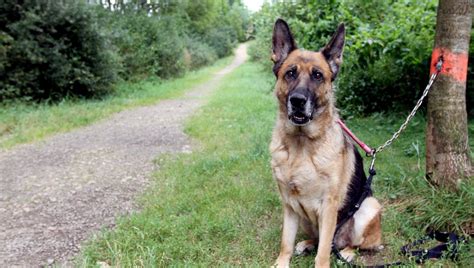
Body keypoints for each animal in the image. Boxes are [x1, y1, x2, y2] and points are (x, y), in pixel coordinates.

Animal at [268, 17, 384, 266]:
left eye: (318, 76)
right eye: (290, 73)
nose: (298, 101)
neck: (301, 144)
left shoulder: (329, 206)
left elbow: (322, 254)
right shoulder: (289, 205)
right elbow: (285, 242)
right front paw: (282, 262)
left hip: (369, 207)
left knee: (349, 244)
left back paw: (348, 252)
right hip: (304, 218)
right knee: (321, 239)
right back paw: (307, 243)